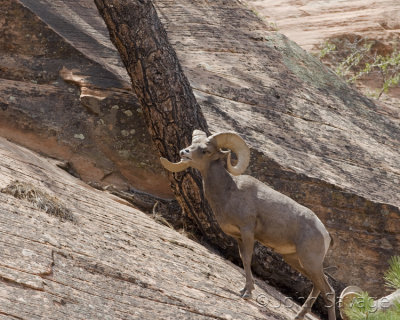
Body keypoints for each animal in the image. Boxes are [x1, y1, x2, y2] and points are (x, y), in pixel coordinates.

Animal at [161, 130, 336, 320]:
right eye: (193, 144)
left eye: (206, 151)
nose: (184, 153)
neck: (229, 192)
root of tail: (325, 234)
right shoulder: (238, 237)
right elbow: (242, 258)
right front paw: (243, 289)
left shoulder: (247, 232)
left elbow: (247, 259)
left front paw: (248, 293)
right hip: (296, 260)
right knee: (318, 287)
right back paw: (297, 316)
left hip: (309, 261)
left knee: (329, 291)